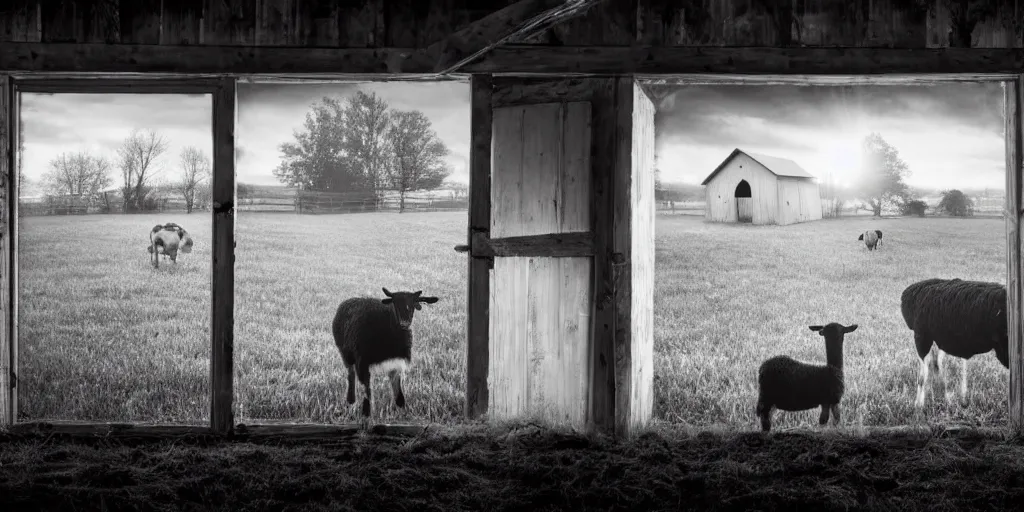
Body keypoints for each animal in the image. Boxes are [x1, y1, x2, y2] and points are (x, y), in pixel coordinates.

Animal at [329, 286, 438, 417]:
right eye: (395, 304)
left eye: (413, 304)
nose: (404, 323)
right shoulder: (363, 362)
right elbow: (367, 390)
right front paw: (367, 413)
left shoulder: (396, 363)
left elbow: (398, 391)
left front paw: (402, 410)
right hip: (347, 355)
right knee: (351, 374)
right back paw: (351, 401)